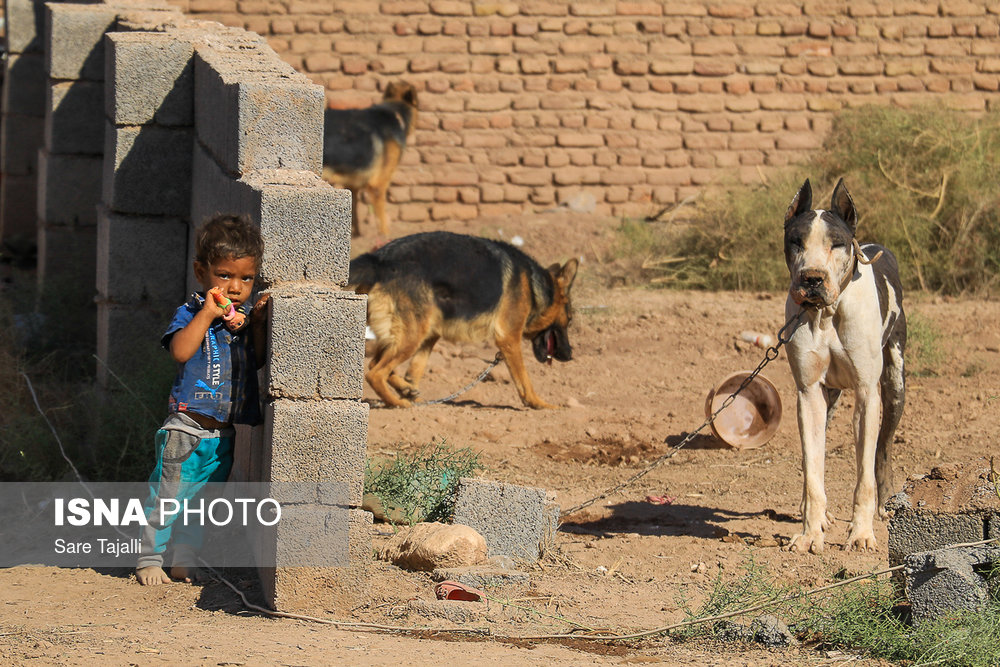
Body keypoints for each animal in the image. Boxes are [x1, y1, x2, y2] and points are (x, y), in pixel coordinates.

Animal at [780, 180, 908, 556]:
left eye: (836, 242)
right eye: (797, 241)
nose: (812, 279)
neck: (827, 313)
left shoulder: (867, 395)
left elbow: (864, 473)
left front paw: (861, 534)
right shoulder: (808, 393)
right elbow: (812, 471)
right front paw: (810, 534)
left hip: (895, 385)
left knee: (883, 449)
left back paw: (884, 504)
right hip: (829, 399)